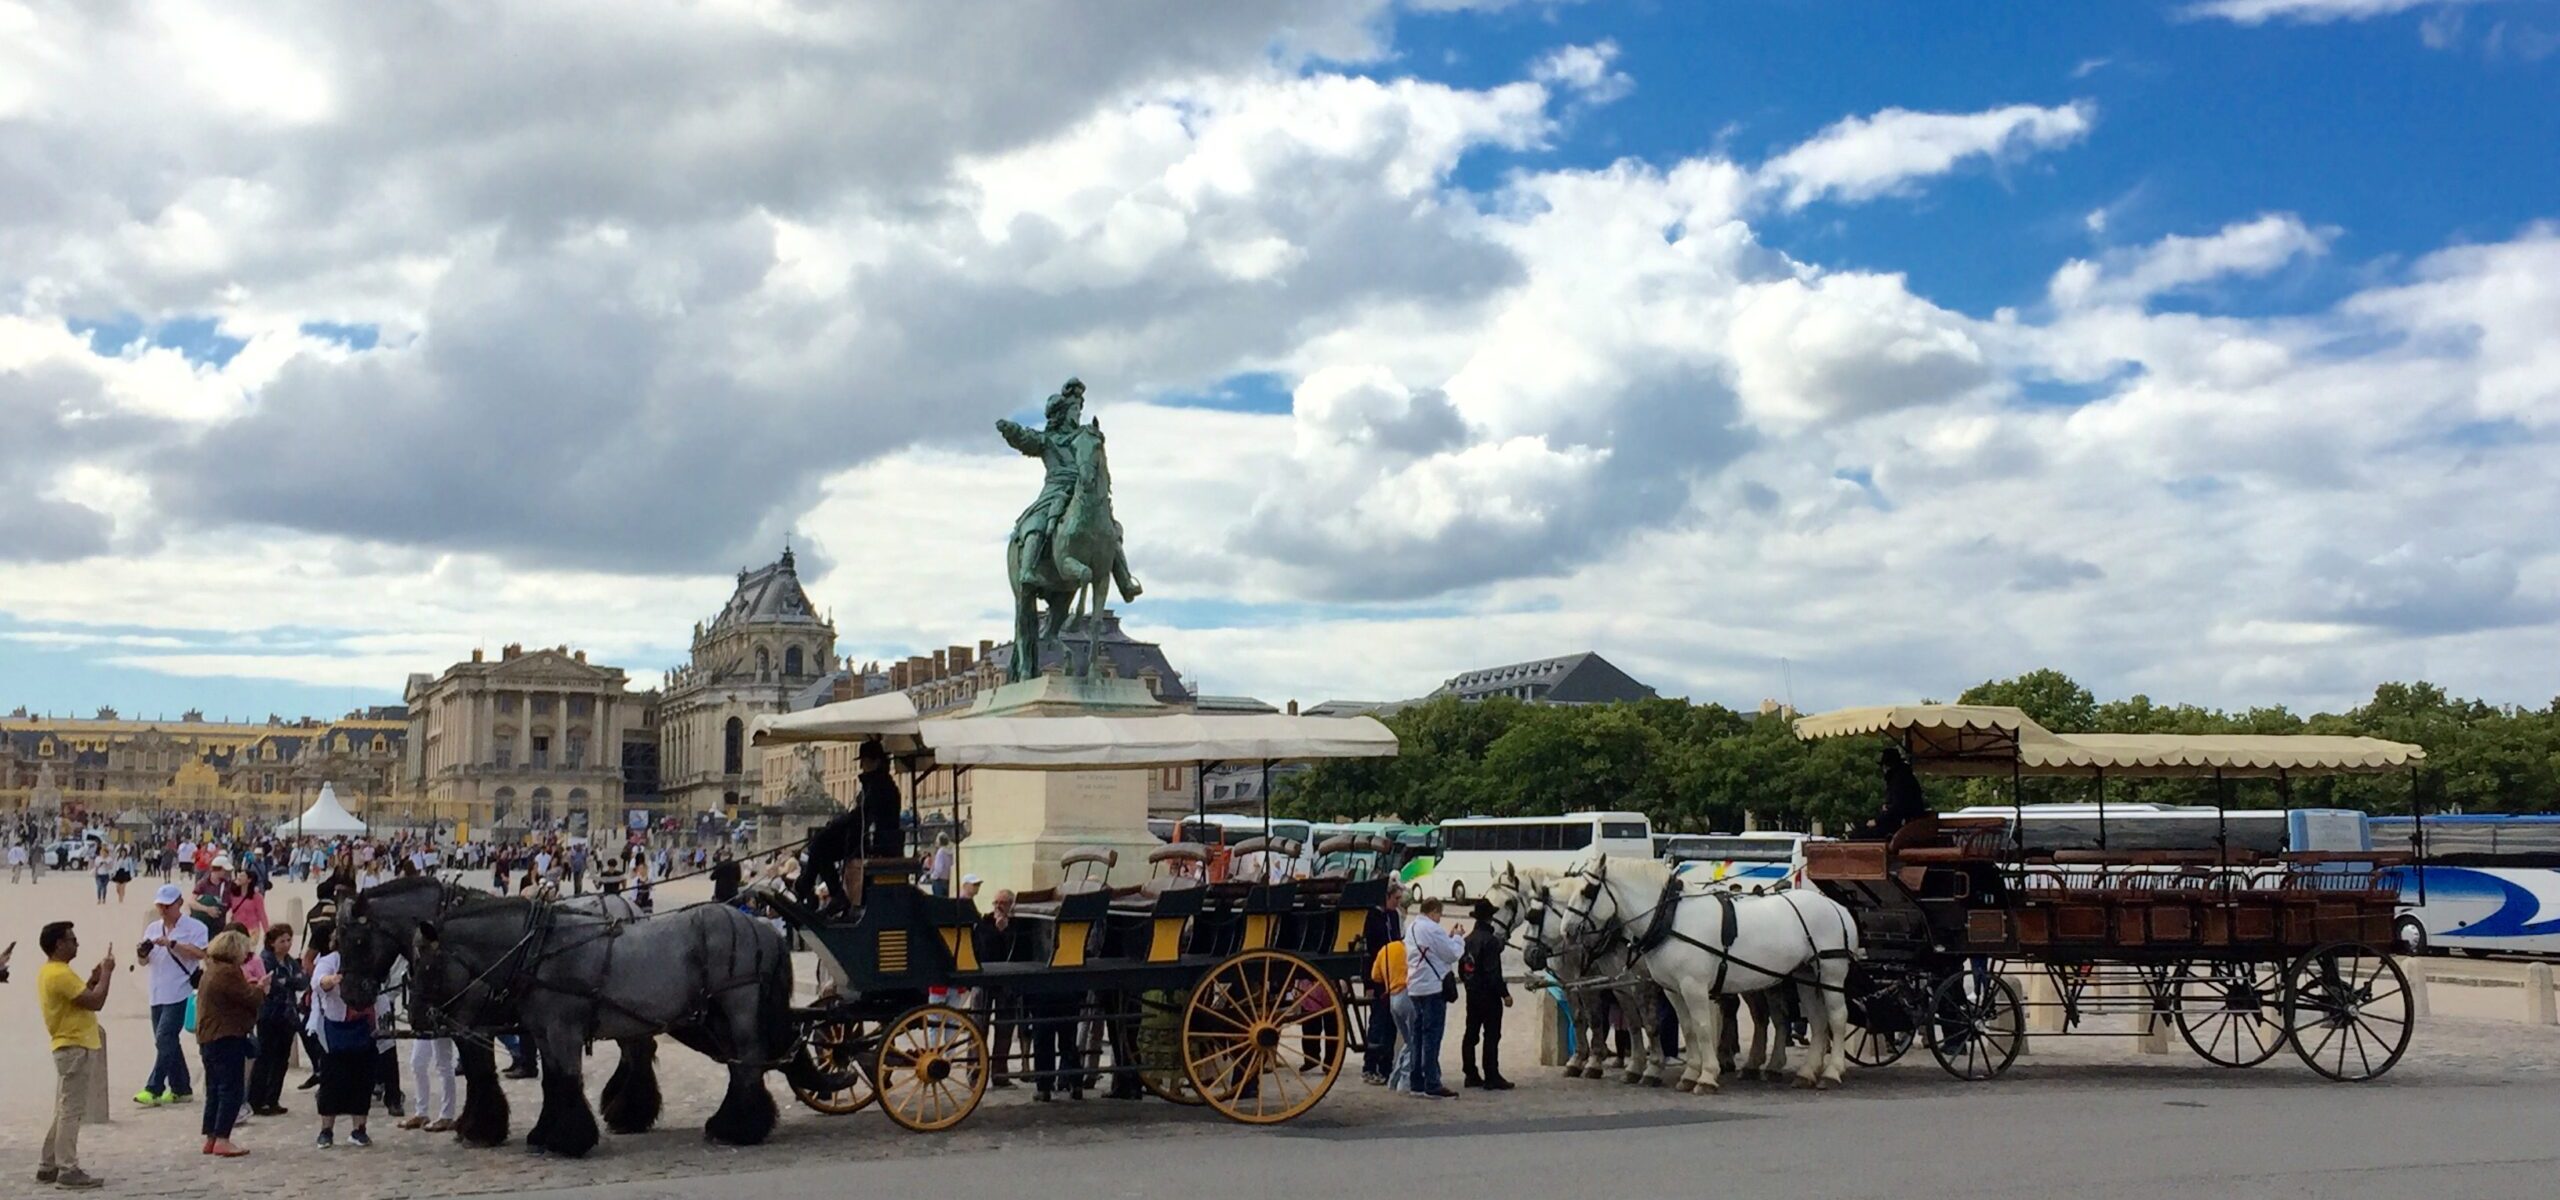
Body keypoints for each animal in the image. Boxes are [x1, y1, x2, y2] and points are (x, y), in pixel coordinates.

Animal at [332, 875, 808, 1156]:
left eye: (355, 941)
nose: (352, 993)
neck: (527, 949)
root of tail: (761, 926)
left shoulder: (543, 1028)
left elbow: (552, 1080)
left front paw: (555, 1138)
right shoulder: (538, 1029)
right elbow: (549, 1082)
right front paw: (533, 1133)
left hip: (737, 1009)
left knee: (747, 1064)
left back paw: (737, 1128)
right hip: (703, 1017)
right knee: (716, 1063)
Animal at [1536, 844, 1863, 1089]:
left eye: (1588, 891)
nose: (1567, 930)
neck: (1672, 919)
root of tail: (1835, 905)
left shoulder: (1693, 987)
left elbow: (1703, 1027)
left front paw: (1707, 1076)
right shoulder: (1673, 989)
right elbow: (1689, 1028)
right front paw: (1691, 1073)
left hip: (1831, 972)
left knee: (1836, 1018)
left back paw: (1832, 1072)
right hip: (1806, 975)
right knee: (1818, 1020)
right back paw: (1807, 1073)